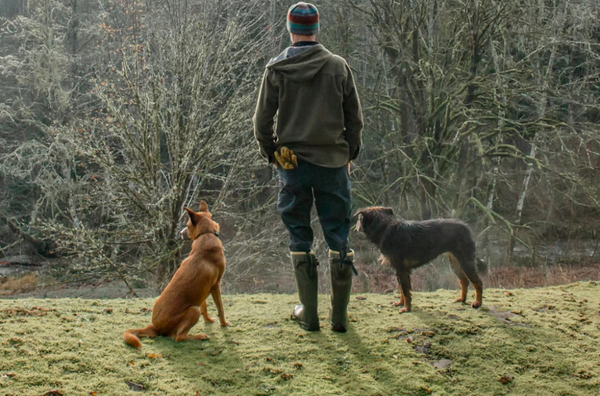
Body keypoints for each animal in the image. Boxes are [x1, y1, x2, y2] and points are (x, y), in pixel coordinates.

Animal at [123, 200, 230, 348]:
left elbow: (205, 307)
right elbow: (220, 309)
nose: (180, 233)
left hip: (194, 307)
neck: (206, 234)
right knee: (179, 337)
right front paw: (224, 324)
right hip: (193, 310)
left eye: (187, 225)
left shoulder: (203, 290)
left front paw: (208, 320)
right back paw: (200, 336)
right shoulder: (216, 286)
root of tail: (155, 327)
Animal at [356, 207, 488, 312]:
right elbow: (402, 289)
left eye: (359, 218)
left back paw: (477, 303)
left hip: (465, 261)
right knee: (464, 281)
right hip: (455, 262)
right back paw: (462, 299)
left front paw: (406, 308)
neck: (385, 228)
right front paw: (400, 304)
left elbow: (405, 291)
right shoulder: (400, 271)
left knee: (478, 282)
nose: (356, 226)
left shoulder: (401, 270)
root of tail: (466, 227)